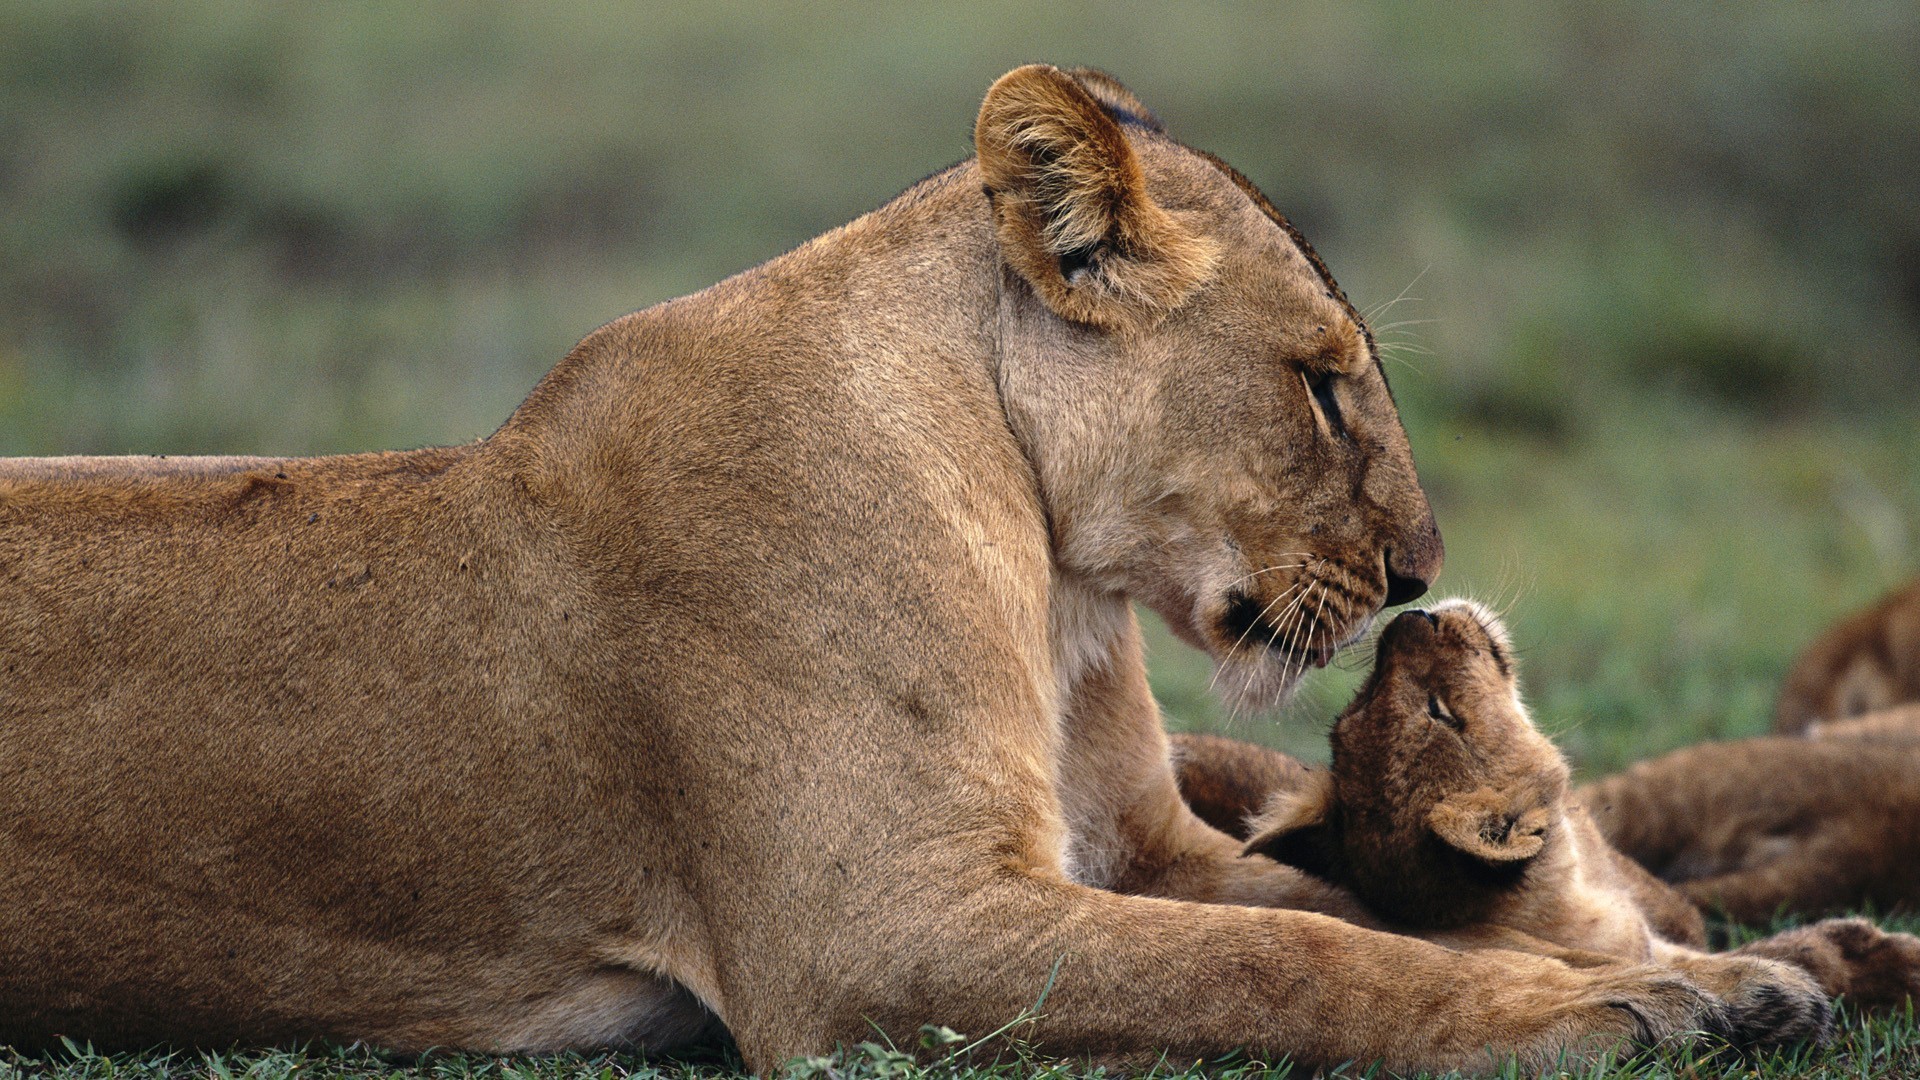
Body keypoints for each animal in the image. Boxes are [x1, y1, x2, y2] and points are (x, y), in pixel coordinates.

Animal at [4, 66, 1749, 1073]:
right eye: (1322, 384)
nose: (1415, 576)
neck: (1057, 587)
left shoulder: (1137, 849)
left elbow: (1376, 914)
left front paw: (1736, 971)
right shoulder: (873, 934)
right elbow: (1289, 956)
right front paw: (1614, 1012)